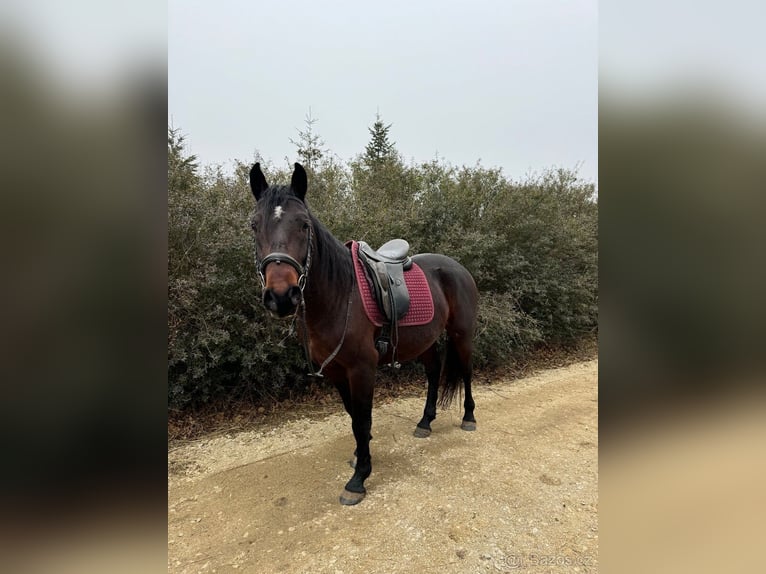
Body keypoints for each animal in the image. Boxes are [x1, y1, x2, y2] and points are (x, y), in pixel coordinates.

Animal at [249, 163, 476, 508]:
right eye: (253, 225)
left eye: (303, 224)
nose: (281, 297)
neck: (341, 294)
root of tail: (458, 268)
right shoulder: (335, 370)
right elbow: (352, 414)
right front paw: (360, 455)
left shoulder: (362, 368)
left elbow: (362, 419)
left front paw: (359, 479)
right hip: (424, 341)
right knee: (434, 374)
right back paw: (425, 422)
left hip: (462, 336)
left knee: (465, 372)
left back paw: (469, 417)